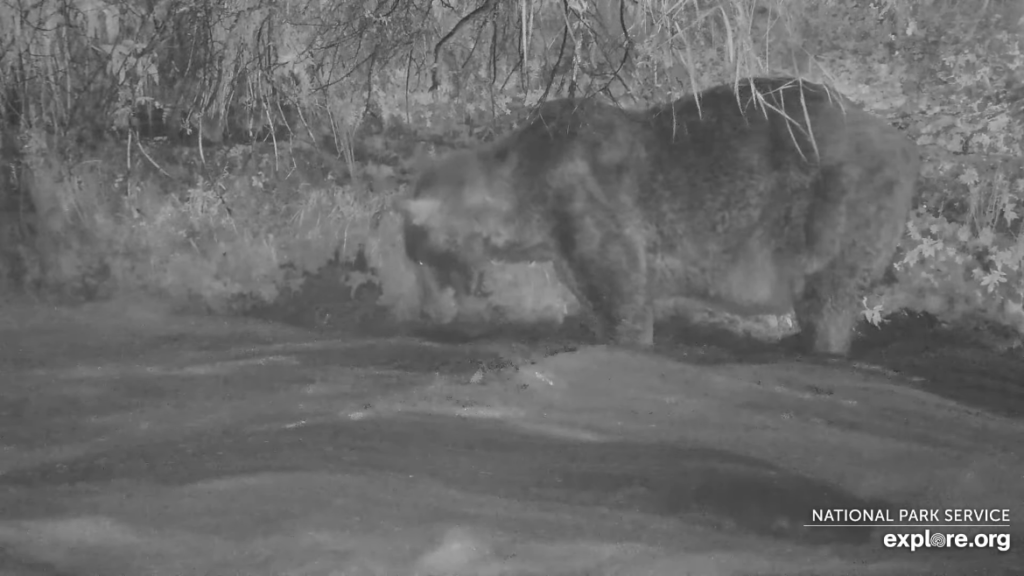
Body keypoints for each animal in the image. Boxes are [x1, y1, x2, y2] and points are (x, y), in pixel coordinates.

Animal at [397, 76, 921, 354]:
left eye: (424, 257)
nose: (428, 315)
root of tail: (900, 140)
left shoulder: (589, 203)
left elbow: (625, 298)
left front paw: (627, 339)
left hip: (839, 203)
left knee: (828, 293)